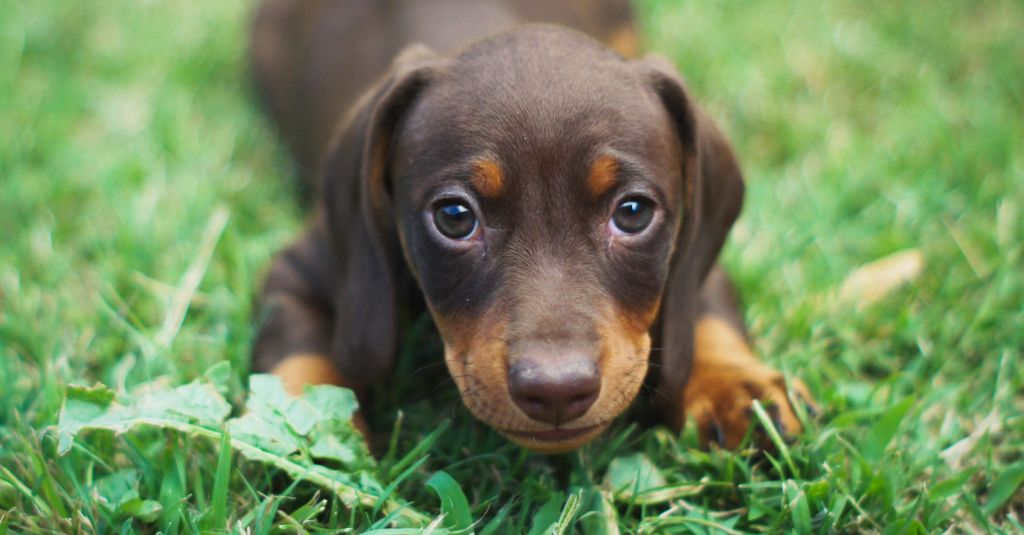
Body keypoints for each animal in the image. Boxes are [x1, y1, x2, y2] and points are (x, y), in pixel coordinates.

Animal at [247, 0, 806, 450]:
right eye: (454, 217)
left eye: (633, 212)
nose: (557, 390)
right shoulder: (299, 270)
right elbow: (298, 361)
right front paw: (298, 430)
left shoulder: (689, 255)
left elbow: (708, 314)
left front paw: (736, 388)